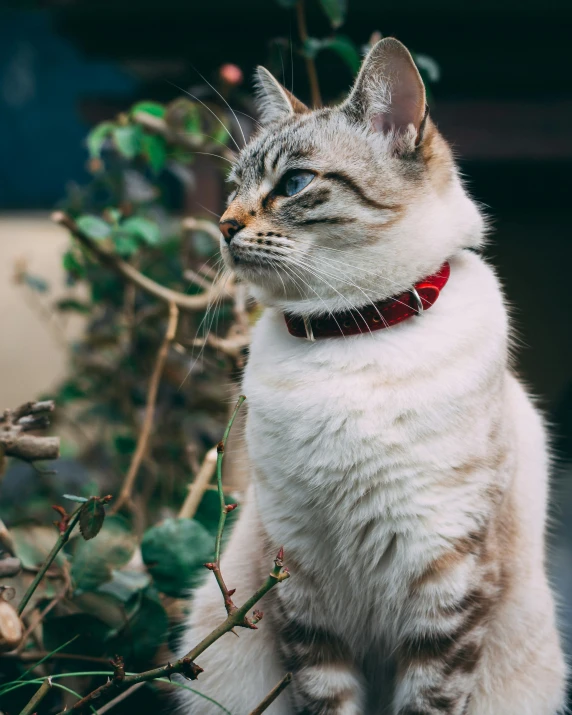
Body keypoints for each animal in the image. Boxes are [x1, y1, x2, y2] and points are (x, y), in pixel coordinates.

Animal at [180, 39, 568, 715]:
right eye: (234, 188)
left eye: (294, 184)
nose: (223, 225)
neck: (350, 331)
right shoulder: (298, 578)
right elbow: (324, 694)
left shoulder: (446, 578)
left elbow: (429, 697)